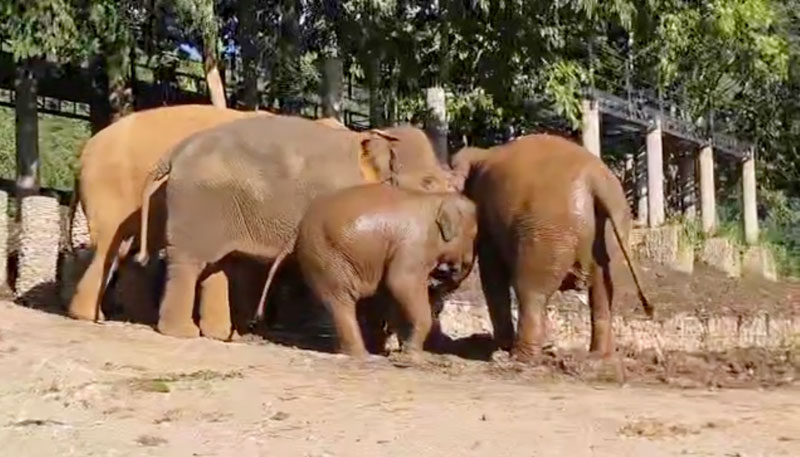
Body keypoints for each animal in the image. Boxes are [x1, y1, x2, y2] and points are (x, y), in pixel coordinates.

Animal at [137, 114, 450, 338]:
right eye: (428, 182)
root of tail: (174, 151)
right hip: (198, 203)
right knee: (188, 262)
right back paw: (182, 333)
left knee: (217, 266)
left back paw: (220, 335)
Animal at [253, 183, 476, 358]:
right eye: (474, 235)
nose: (448, 274)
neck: (437, 198)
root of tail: (297, 230)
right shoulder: (414, 245)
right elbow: (401, 282)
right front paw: (413, 356)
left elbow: (392, 292)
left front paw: (402, 352)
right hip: (327, 256)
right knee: (341, 301)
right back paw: (363, 355)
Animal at [450, 134, 648, 358]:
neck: (481, 153)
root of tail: (596, 180)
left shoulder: (486, 220)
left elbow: (492, 275)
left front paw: (500, 346)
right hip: (607, 235)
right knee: (602, 294)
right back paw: (600, 356)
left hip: (547, 230)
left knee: (531, 291)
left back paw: (519, 357)